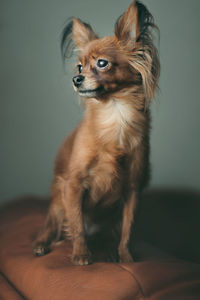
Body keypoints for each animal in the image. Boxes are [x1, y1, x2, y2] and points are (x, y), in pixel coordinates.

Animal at [33, 1, 160, 266]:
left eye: (102, 63)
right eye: (80, 66)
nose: (76, 79)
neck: (115, 115)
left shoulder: (132, 191)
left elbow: (127, 230)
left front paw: (126, 258)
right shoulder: (74, 184)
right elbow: (78, 225)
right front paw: (81, 255)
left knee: (109, 233)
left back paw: (109, 250)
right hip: (58, 203)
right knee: (52, 226)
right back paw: (41, 244)